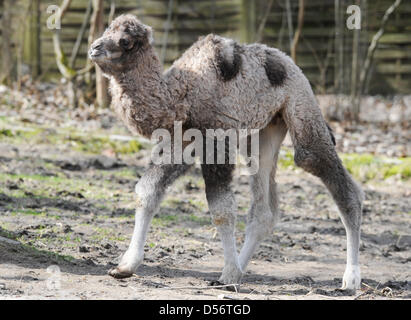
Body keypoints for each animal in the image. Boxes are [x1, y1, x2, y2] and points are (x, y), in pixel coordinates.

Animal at [90, 14, 364, 290]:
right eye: (107, 29)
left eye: (125, 41)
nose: (94, 47)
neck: (181, 96)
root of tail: (290, 64)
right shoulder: (181, 141)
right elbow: (147, 192)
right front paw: (125, 266)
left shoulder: (216, 140)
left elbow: (221, 210)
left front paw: (229, 273)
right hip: (263, 133)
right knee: (263, 208)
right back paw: (242, 268)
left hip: (301, 109)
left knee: (327, 173)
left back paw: (351, 278)